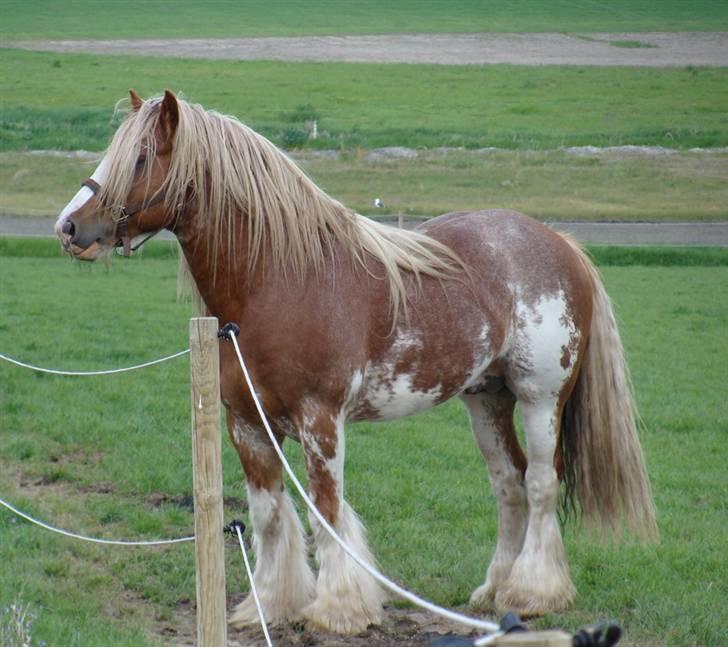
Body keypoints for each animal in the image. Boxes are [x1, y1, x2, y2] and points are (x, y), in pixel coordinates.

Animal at [55, 92, 660, 636]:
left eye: (139, 158)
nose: (69, 228)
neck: (276, 281)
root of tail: (560, 242)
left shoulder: (320, 420)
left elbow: (326, 510)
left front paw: (337, 610)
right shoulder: (245, 424)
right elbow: (271, 516)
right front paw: (271, 605)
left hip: (539, 399)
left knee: (539, 484)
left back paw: (533, 593)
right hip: (486, 399)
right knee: (508, 483)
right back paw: (495, 591)